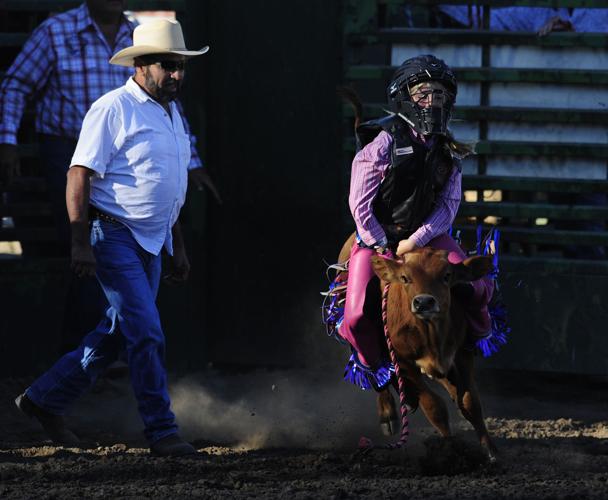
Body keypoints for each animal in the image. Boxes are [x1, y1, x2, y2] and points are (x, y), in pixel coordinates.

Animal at [370, 247, 494, 460]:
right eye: (405, 278)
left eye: (447, 275)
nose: (424, 302)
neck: (431, 333)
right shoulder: (403, 361)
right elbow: (434, 406)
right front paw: (451, 448)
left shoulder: (462, 354)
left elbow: (471, 403)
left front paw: (489, 450)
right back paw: (389, 414)